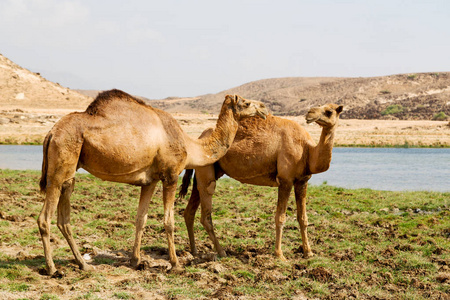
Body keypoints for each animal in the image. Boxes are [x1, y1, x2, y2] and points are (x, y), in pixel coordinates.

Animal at [37, 88, 268, 274]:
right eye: (246, 103)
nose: (264, 108)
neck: (189, 144)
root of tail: (50, 133)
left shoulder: (150, 181)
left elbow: (141, 219)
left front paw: (135, 260)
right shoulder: (171, 176)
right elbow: (168, 222)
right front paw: (176, 264)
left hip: (70, 171)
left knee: (64, 218)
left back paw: (84, 265)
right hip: (60, 165)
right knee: (44, 218)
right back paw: (53, 269)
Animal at [179, 103, 342, 260]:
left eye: (329, 111)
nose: (310, 113)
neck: (307, 150)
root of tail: (199, 138)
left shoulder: (302, 181)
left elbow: (303, 218)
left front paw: (308, 253)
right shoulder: (285, 180)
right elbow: (280, 217)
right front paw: (279, 254)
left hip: (204, 171)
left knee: (189, 211)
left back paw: (194, 251)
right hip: (207, 171)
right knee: (206, 209)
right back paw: (221, 251)